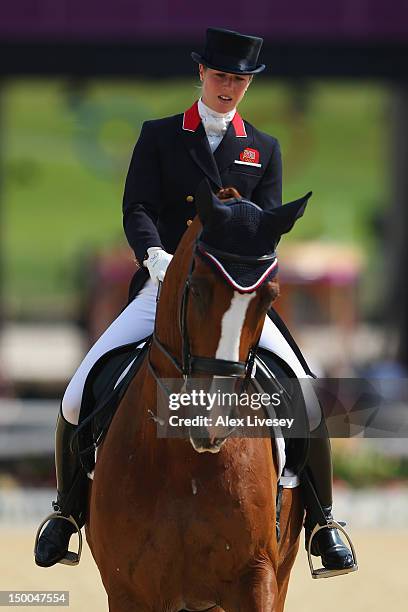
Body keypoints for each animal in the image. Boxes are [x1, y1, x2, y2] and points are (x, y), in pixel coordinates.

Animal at [85, 183, 310, 612]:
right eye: (198, 288)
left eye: (269, 297)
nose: (212, 424)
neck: (183, 462)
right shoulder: (127, 588)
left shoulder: (256, 578)